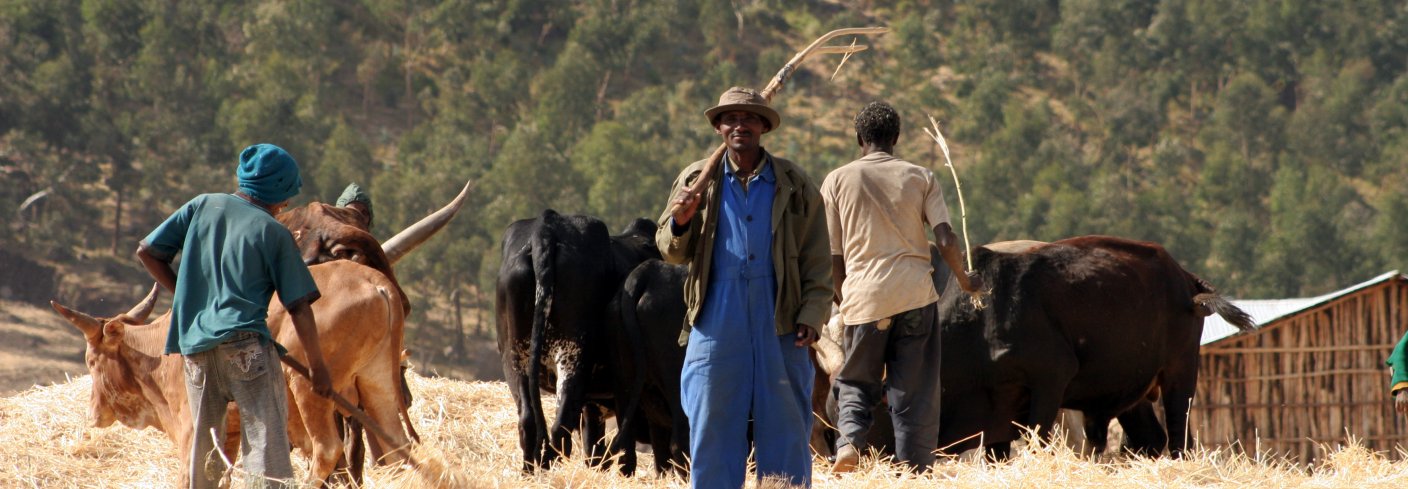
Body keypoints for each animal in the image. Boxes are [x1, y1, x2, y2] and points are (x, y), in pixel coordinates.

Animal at [53, 260, 411, 487]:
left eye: (90, 361)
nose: (94, 414)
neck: (157, 353)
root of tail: (375, 282)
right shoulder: (231, 433)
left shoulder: (192, 425)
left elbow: (190, 476)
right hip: (377, 385)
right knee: (398, 448)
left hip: (309, 390)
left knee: (326, 449)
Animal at [495, 209, 658, 470]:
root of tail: (547, 226)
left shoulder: (594, 405)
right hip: (572, 357)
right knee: (560, 427)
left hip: (515, 358)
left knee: (530, 421)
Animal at [934, 236, 1255, 459]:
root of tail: (1185, 276)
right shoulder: (998, 409)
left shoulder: (1050, 380)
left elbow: (1038, 440)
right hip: (1133, 388)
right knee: (1150, 439)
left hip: (1181, 371)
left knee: (1180, 437)